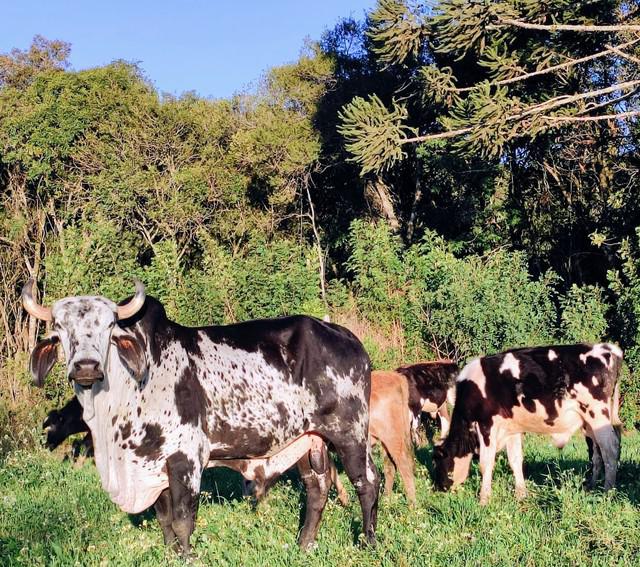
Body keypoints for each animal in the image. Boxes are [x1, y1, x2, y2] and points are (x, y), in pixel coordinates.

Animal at [23, 280, 380, 556]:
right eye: (60, 328)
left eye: (109, 326)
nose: (86, 367)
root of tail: (344, 336)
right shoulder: (154, 465)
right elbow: (165, 519)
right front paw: (172, 554)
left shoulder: (187, 457)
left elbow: (183, 520)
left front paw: (187, 556)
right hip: (309, 440)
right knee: (317, 488)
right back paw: (304, 545)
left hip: (349, 433)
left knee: (367, 482)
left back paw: (368, 542)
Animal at [432, 344, 624, 504]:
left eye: (439, 461)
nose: (438, 488)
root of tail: (609, 348)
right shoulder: (511, 428)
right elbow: (515, 460)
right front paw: (521, 495)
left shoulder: (487, 425)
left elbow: (485, 463)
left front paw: (483, 500)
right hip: (591, 422)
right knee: (597, 452)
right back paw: (591, 485)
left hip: (597, 413)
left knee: (610, 448)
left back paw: (607, 492)